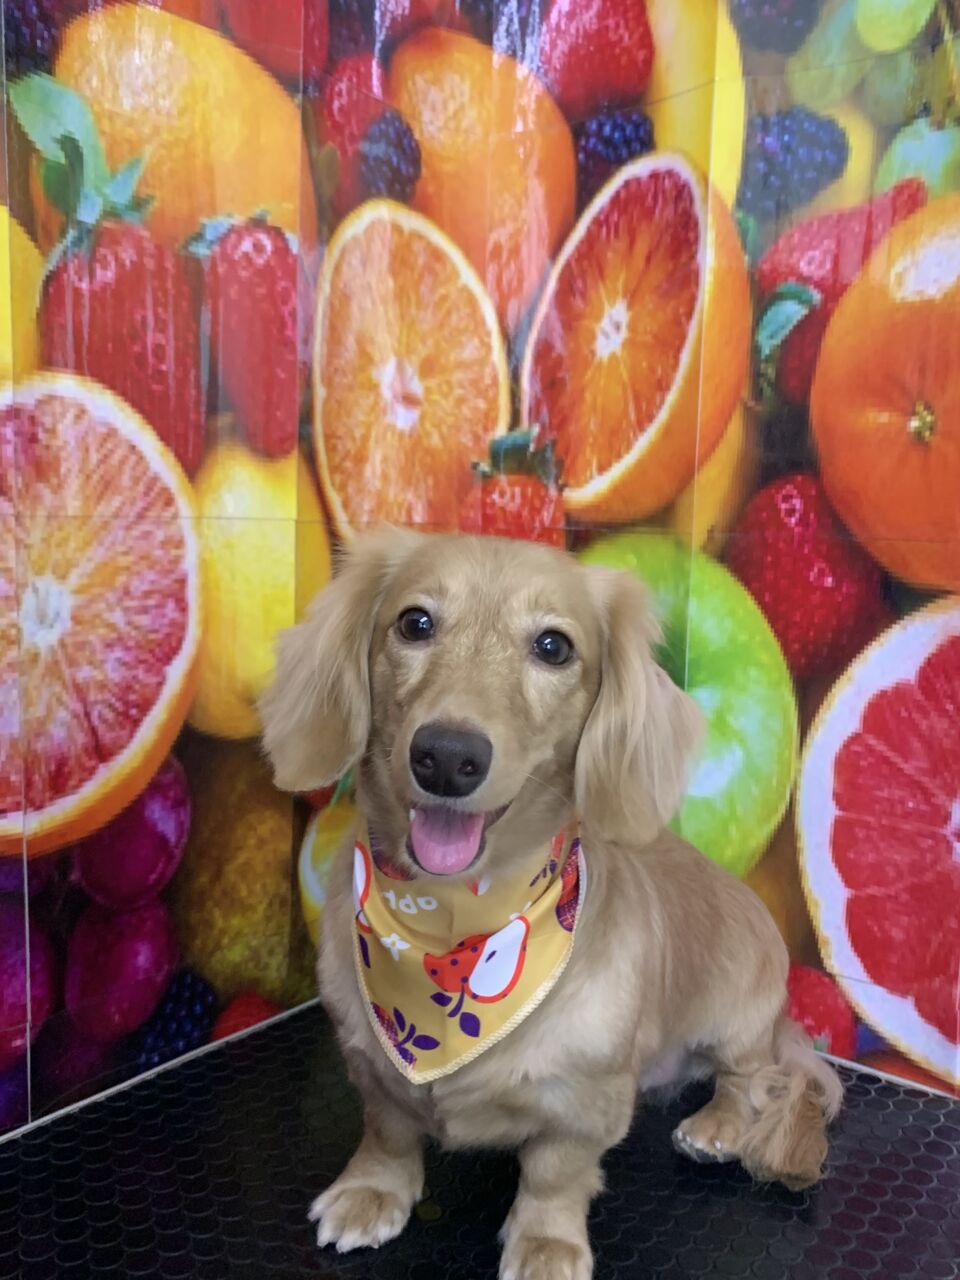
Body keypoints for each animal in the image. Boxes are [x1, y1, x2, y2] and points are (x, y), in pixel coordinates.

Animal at [259, 528, 842, 1280]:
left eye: (553, 647)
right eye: (414, 623)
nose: (446, 756)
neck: (452, 924)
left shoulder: (585, 1104)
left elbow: (554, 1176)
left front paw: (545, 1246)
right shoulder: (371, 1067)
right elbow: (388, 1134)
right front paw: (371, 1193)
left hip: (740, 1015)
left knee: (751, 1076)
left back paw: (717, 1124)